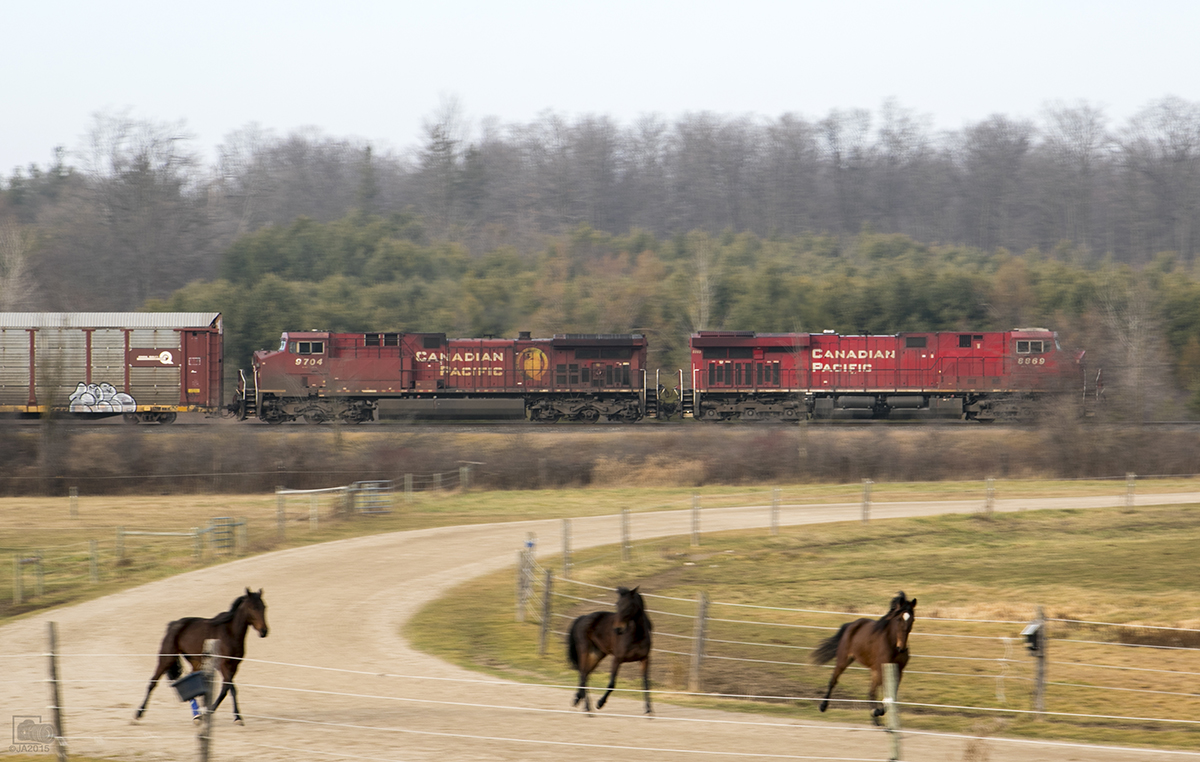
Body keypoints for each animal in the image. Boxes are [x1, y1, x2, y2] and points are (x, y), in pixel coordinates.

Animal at [135, 590, 268, 729]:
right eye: (252, 607)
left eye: (264, 607)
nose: (264, 631)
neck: (230, 633)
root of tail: (173, 624)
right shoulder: (223, 665)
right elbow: (229, 688)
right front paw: (234, 717)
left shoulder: (234, 665)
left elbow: (227, 689)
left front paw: (217, 714)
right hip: (167, 659)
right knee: (153, 682)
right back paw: (138, 714)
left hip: (195, 662)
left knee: (190, 685)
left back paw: (197, 716)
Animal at [811, 592, 912, 724]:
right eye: (898, 618)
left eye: (912, 619)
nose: (902, 648)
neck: (892, 644)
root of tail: (851, 625)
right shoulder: (881, 669)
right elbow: (884, 695)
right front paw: (877, 712)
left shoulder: (898, 671)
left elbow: (891, 697)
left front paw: (878, 712)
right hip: (844, 659)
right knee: (833, 680)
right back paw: (823, 706)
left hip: (872, 669)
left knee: (871, 692)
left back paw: (875, 718)